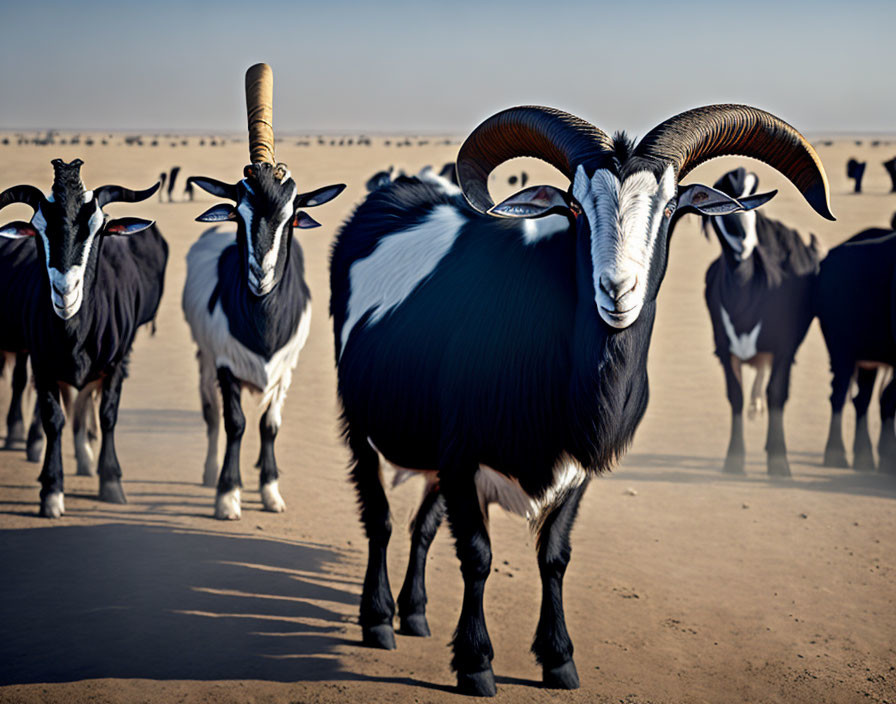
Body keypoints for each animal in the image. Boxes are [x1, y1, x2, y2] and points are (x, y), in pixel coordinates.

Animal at [0, 157, 166, 516]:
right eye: (37, 229)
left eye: (100, 228)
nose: (65, 291)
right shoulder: (42, 362)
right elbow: (53, 418)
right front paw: (51, 491)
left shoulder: (117, 362)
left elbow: (107, 414)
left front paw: (111, 482)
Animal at [181, 63, 344, 520]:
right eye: (239, 213)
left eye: (292, 216)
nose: (260, 275)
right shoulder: (223, 364)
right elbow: (234, 423)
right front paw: (227, 495)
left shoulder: (285, 370)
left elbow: (270, 425)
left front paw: (270, 490)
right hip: (203, 360)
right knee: (211, 414)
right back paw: (209, 472)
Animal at [704, 168, 824, 476]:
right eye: (720, 199)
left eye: (753, 199)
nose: (745, 242)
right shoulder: (724, 349)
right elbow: (735, 395)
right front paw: (733, 461)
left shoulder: (784, 348)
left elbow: (777, 394)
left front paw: (779, 463)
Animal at [820, 217, 896, 476]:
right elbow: (888, 399)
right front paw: (887, 460)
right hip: (841, 348)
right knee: (839, 394)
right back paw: (836, 455)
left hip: (867, 356)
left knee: (862, 398)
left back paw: (865, 458)